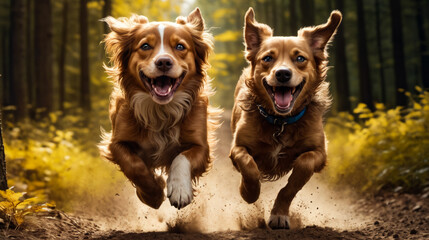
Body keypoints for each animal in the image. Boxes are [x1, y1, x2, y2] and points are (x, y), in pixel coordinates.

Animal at [98, 7, 219, 210]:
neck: (161, 110)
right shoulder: (116, 142)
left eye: (180, 47)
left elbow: (181, 158)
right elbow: (135, 166)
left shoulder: (201, 145)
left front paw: (179, 189)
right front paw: (153, 193)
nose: (163, 62)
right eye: (145, 46)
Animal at [229, 7, 342, 229]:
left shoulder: (319, 153)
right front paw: (249, 192)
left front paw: (279, 214)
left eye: (300, 59)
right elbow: (249, 167)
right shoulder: (237, 148)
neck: (280, 121)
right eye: (267, 58)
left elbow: (298, 173)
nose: (282, 74)